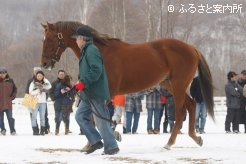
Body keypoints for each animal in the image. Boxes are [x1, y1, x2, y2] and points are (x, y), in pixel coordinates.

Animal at [40, 21, 213, 149]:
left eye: (49, 39)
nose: (44, 63)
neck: (102, 52)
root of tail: (192, 48)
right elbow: (97, 118)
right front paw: (98, 141)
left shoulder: (107, 93)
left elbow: (99, 118)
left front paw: (99, 142)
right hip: (170, 85)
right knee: (191, 105)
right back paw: (196, 138)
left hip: (178, 85)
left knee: (180, 112)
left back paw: (169, 143)